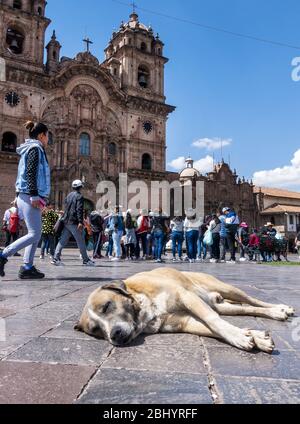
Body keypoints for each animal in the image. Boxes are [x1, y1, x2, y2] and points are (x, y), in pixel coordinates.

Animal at [74, 268, 294, 354]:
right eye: (96, 330)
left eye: (107, 305)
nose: (115, 335)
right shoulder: (184, 322)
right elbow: (212, 328)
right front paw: (255, 337)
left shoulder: (186, 296)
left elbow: (213, 321)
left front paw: (239, 337)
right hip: (223, 305)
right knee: (246, 308)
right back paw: (274, 314)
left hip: (226, 288)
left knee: (253, 300)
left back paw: (281, 308)